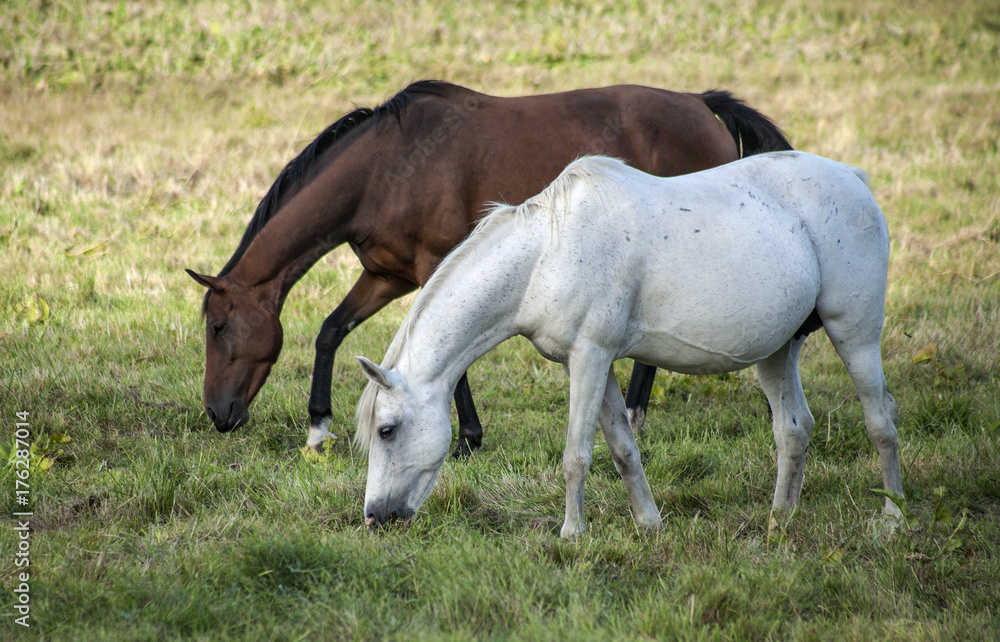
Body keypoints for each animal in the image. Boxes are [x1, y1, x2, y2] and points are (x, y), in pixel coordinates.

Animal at [184, 79, 784, 456]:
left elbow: (454, 357)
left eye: (218, 327)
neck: (385, 168)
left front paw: (468, 439)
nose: (217, 414)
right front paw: (317, 431)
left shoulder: (435, 268)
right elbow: (330, 332)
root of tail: (700, 103)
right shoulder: (385, 276)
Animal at [354, 151, 908, 536]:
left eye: (387, 430)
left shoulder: (591, 357)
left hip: (855, 334)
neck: (546, 255)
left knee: (881, 420)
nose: (375, 517)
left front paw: (571, 534)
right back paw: (779, 520)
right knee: (793, 429)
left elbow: (576, 454)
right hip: (776, 351)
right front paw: (649, 524)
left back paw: (891, 519)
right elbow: (622, 448)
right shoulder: (590, 364)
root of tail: (852, 178)